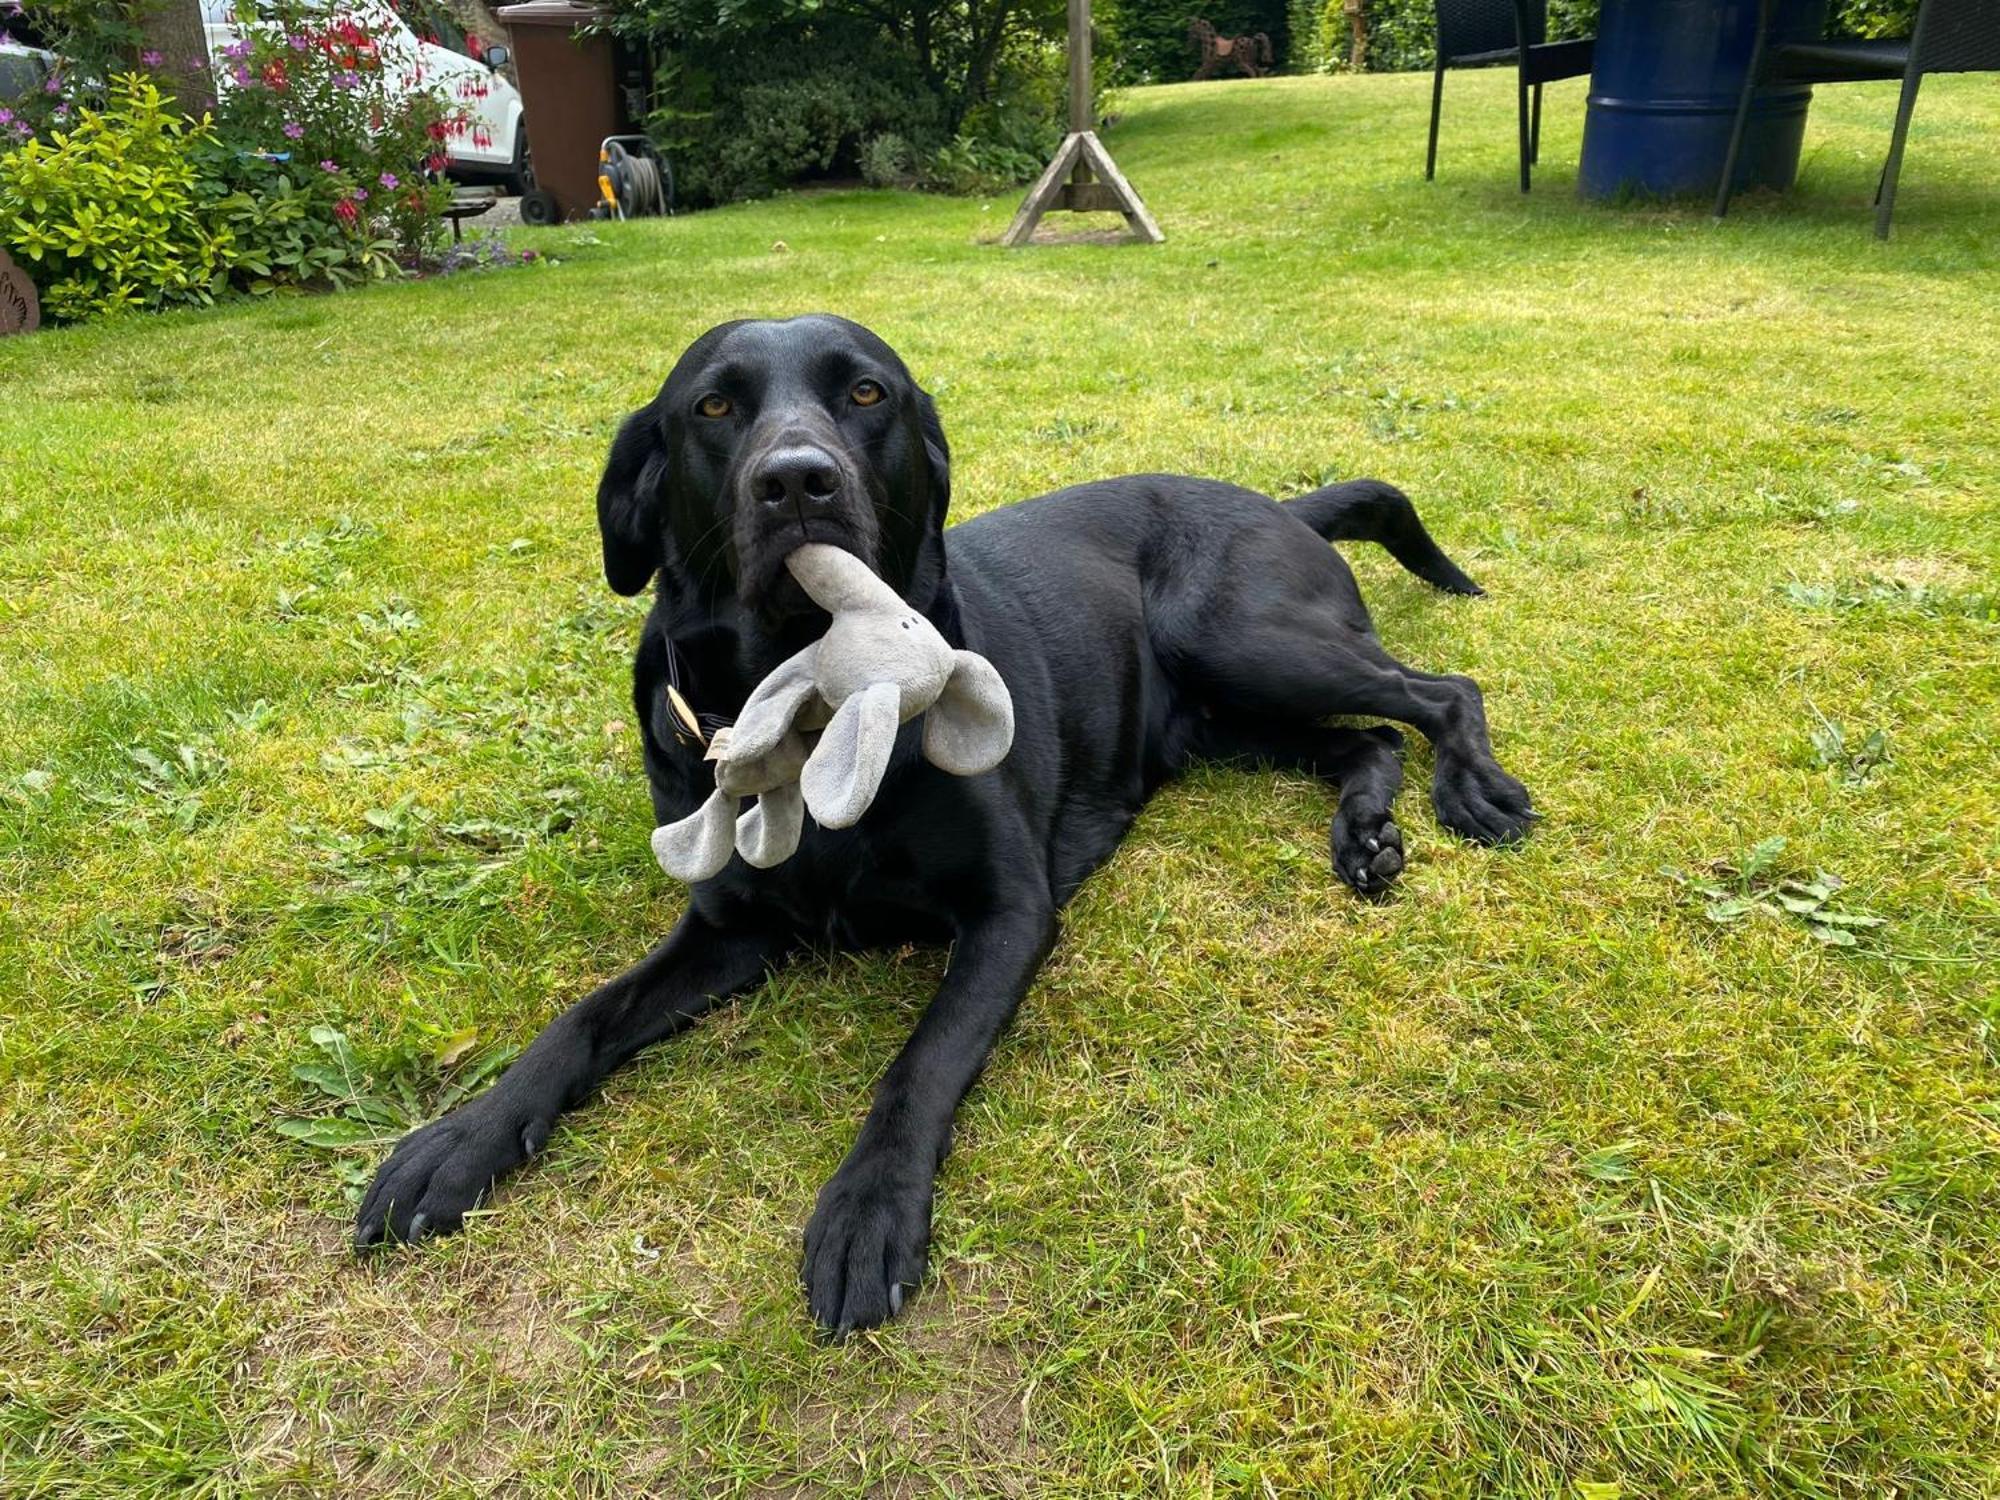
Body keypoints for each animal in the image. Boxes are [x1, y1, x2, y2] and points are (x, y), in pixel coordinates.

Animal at [356, 312, 1528, 1336]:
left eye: (866, 393)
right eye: (714, 405)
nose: (797, 480)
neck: (809, 716)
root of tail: (1282, 503)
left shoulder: (1010, 912)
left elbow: (917, 1063)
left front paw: (868, 1210)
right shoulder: (730, 928)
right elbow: (583, 1017)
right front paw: (459, 1140)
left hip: (1242, 638)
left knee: (1439, 691)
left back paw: (1473, 792)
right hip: (1221, 717)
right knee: (1364, 742)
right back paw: (1366, 833)